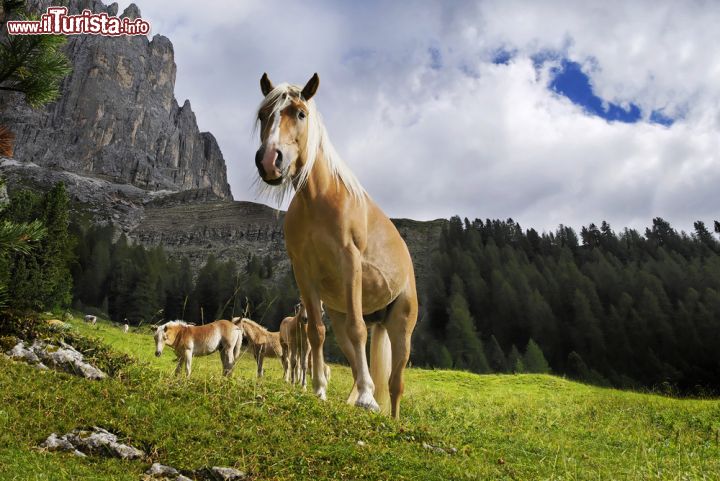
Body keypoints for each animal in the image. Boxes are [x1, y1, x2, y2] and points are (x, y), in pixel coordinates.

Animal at [256, 72, 420, 416]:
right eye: (264, 115)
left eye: (300, 114)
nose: (269, 160)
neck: (319, 199)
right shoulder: (304, 273)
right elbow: (316, 333)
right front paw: (319, 389)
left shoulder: (350, 262)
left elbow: (359, 330)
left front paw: (367, 398)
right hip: (342, 316)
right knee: (357, 360)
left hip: (402, 324)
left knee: (396, 383)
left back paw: (389, 415)